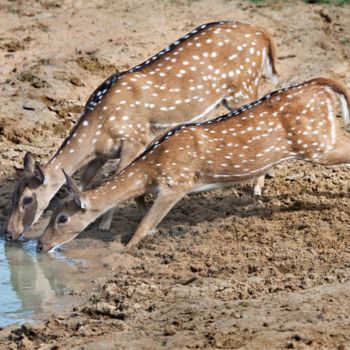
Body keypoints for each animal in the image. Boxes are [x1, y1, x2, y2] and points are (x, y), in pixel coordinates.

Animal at [6, 20, 278, 239]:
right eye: (13, 195)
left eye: (28, 198)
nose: (10, 233)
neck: (98, 128)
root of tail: (263, 33)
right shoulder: (104, 152)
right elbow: (84, 178)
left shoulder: (134, 138)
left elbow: (120, 175)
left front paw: (105, 225)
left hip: (242, 88)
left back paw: (257, 188)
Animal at [36, 77, 350, 252]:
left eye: (61, 218)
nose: (39, 245)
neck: (153, 166)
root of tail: (321, 87)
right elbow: (141, 207)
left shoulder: (178, 182)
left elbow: (144, 224)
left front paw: (125, 249)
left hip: (318, 143)